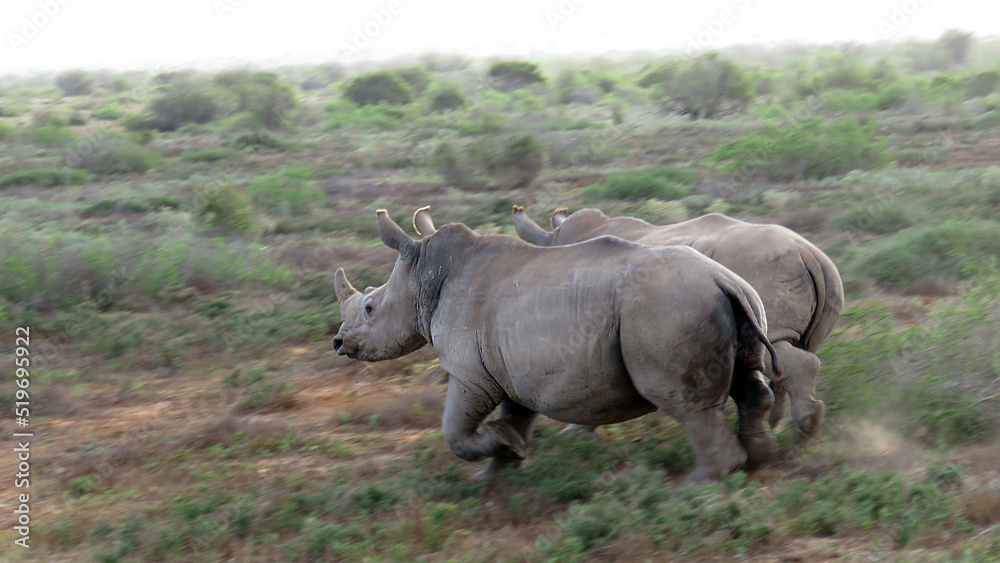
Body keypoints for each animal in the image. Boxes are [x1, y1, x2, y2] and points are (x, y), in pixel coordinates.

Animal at [334, 209, 780, 484]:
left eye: (370, 308)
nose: (339, 343)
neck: (427, 275)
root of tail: (723, 279)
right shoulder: (512, 368)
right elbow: (513, 417)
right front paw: (497, 469)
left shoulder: (470, 374)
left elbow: (455, 432)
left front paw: (500, 451)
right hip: (739, 300)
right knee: (750, 382)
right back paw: (757, 460)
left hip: (667, 308)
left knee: (687, 406)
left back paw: (697, 484)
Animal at [477, 206, 844, 442]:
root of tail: (810, 254)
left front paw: (575, 432)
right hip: (822, 275)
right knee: (790, 354)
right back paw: (785, 427)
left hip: (763, 269)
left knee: (778, 351)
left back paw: (804, 429)